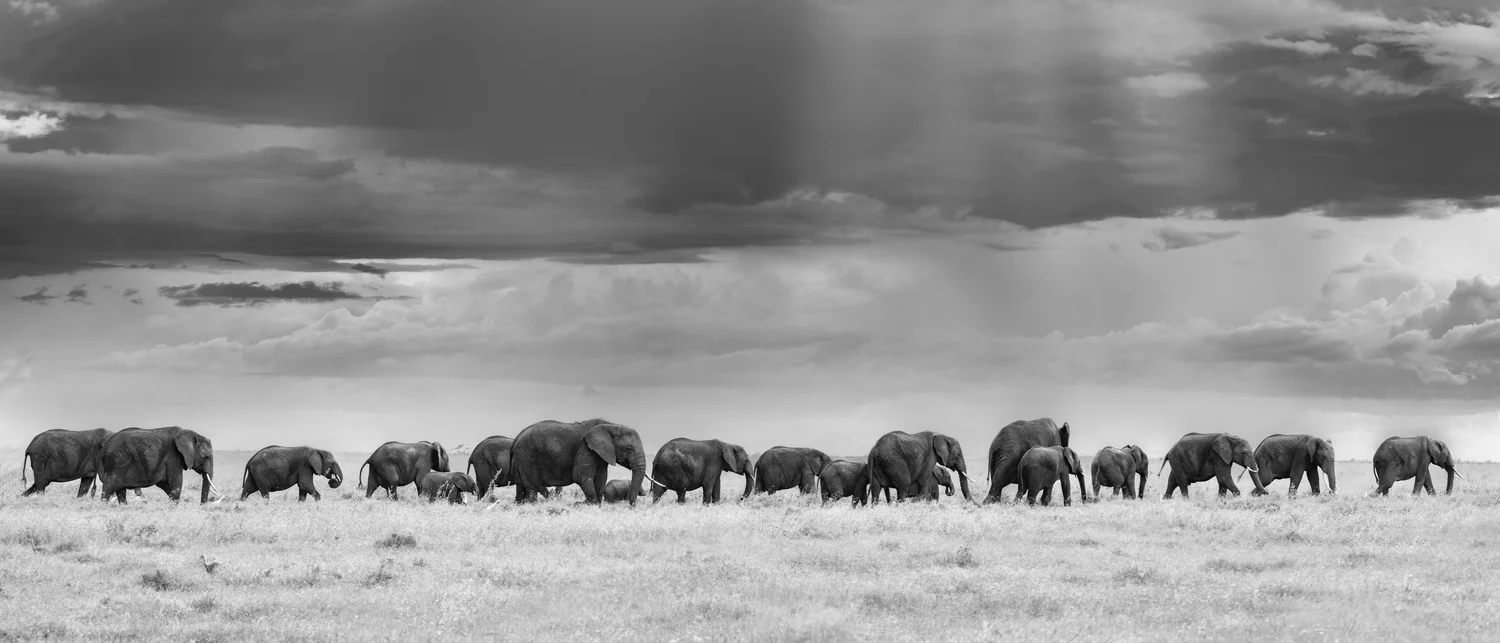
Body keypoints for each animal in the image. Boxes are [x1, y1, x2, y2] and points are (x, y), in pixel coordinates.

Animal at [508, 418, 658, 505]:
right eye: (628, 448)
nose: (631, 506)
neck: (612, 426)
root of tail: (517, 438)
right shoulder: (586, 447)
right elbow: (580, 476)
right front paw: (584, 504)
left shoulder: (600, 454)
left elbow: (601, 478)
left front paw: (596, 504)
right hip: (528, 456)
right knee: (532, 487)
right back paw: (532, 505)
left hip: (522, 458)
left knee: (521, 486)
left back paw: (519, 504)